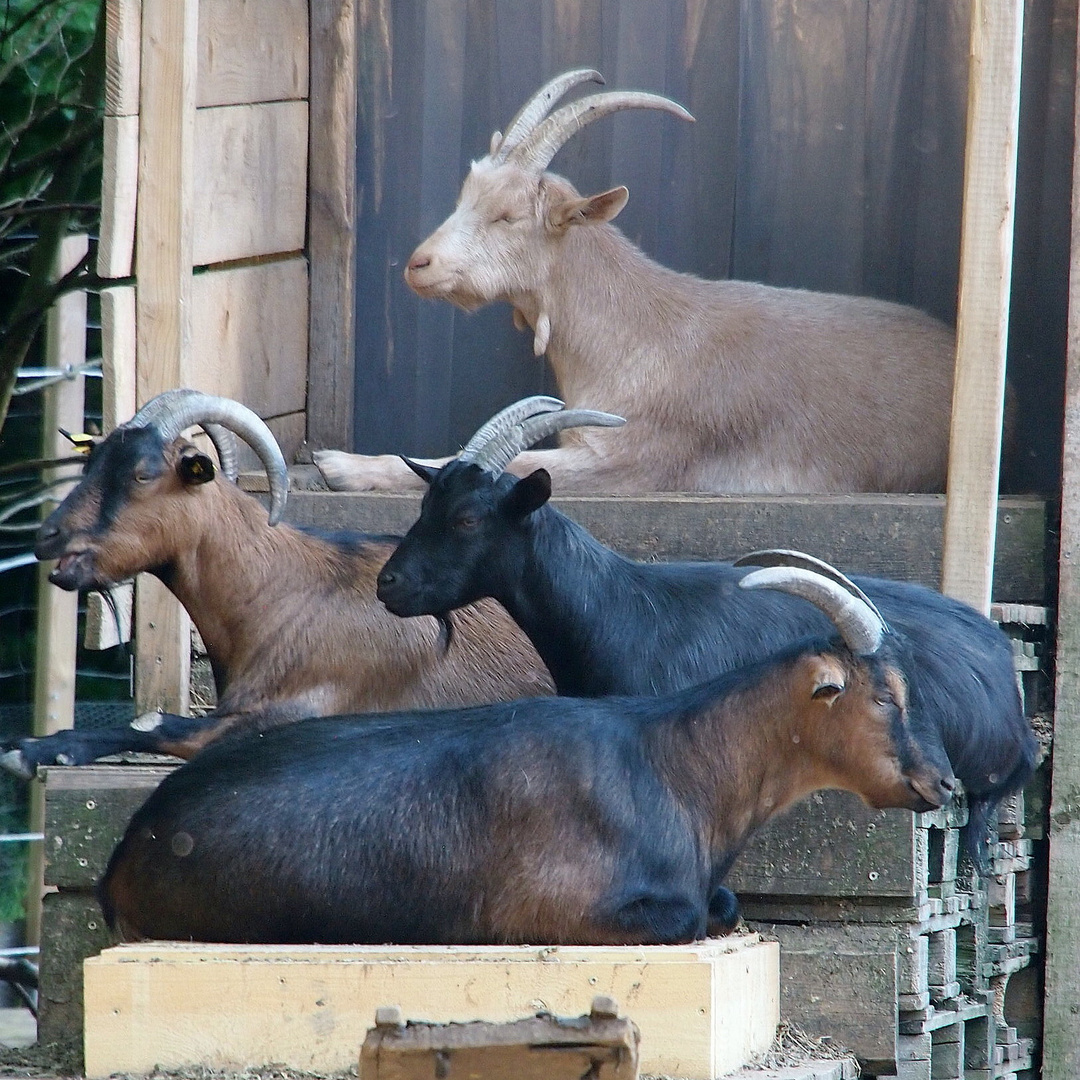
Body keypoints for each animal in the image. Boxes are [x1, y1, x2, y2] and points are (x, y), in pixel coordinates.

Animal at [2, 388, 548, 777]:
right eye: (91, 462)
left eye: (142, 473)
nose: (49, 536)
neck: (276, 597)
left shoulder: (307, 708)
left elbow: (160, 724)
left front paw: (35, 750)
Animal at [97, 565, 950, 946]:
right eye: (887, 698)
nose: (940, 780)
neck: (674, 762)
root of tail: (125, 854)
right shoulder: (563, 909)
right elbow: (694, 915)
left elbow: (726, 905)